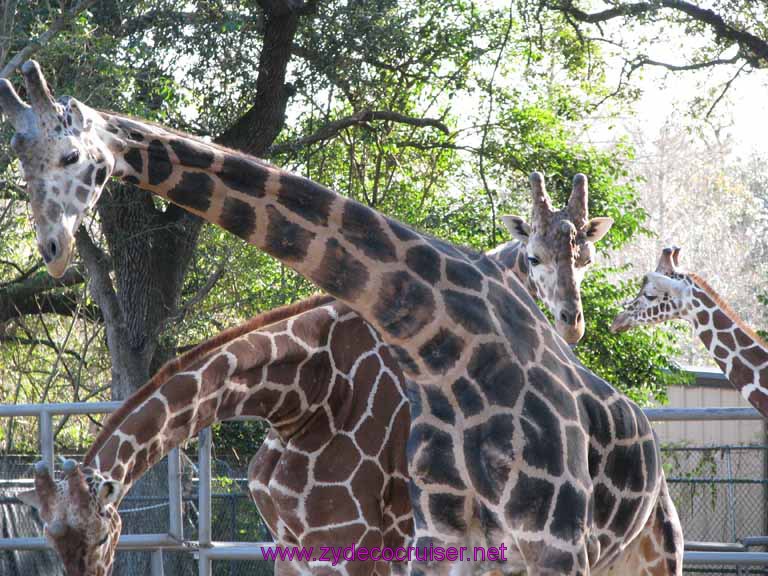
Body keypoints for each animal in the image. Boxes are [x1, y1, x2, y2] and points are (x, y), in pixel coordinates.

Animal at [5, 61, 681, 575]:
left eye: (71, 155)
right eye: (20, 160)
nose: (52, 248)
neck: (299, 395)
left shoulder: (371, 540)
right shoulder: (319, 544)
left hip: (637, 553)